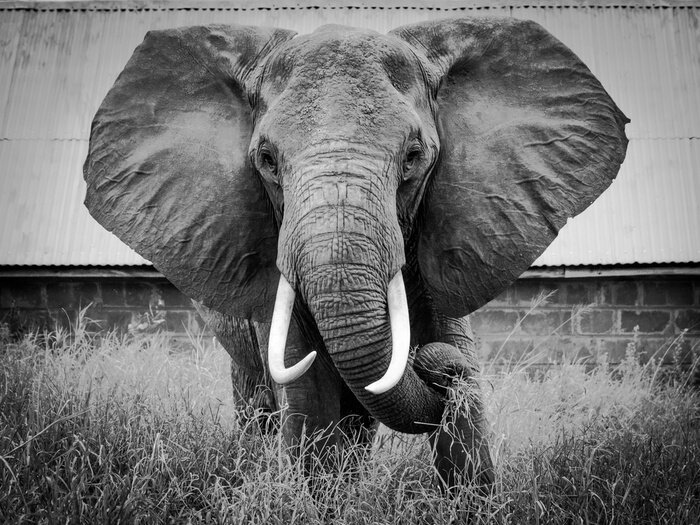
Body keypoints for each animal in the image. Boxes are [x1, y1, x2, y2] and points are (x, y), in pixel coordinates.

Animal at [83, 17, 628, 492]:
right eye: (267, 160)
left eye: (413, 157)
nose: (431, 367)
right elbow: (310, 392)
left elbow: (456, 378)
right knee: (260, 396)